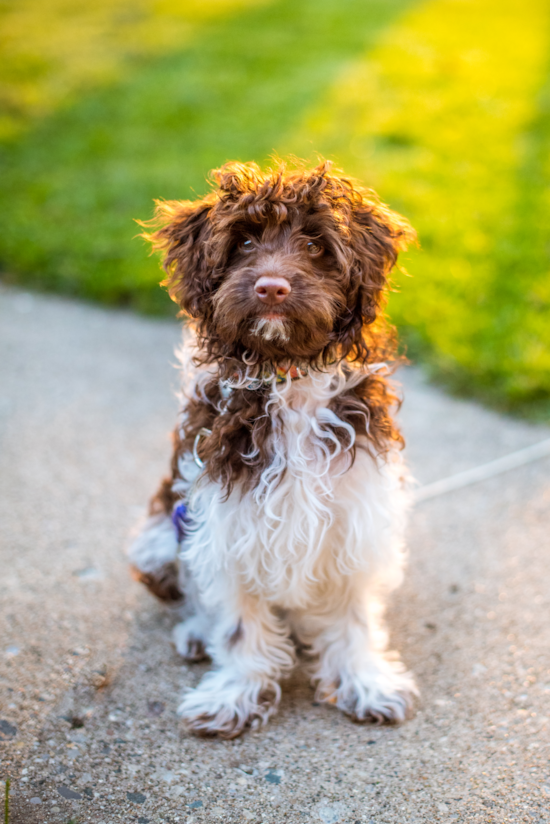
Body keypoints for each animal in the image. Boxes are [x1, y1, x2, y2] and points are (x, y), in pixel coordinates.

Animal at [129, 158, 420, 736]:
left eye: (314, 245)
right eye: (242, 242)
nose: (271, 288)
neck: (286, 375)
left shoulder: (358, 512)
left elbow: (354, 614)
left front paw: (365, 680)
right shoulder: (222, 518)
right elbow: (238, 622)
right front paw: (235, 693)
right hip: (157, 536)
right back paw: (196, 633)